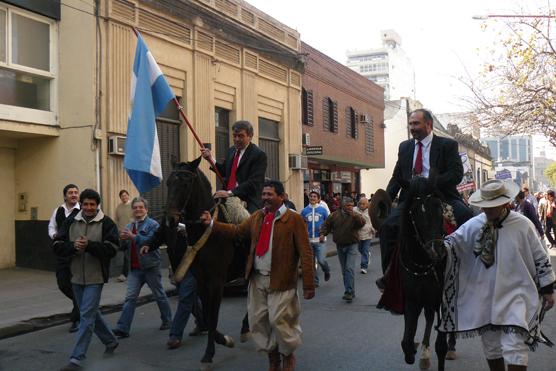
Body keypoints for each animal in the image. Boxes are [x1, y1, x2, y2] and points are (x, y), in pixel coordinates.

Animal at [164, 158, 249, 371]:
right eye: (168, 183)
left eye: (185, 183)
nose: (170, 219)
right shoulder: (201, 280)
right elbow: (210, 317)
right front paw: (224, 340)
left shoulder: (217, 281)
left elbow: (214, 315)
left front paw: (208, 355)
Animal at [398, 175, 450, 371]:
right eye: (414, 212)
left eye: (439, 207)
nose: (436, 250)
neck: (423, 261)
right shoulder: (412, 299)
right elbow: (406, 342)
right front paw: (413, 350)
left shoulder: (441, 299)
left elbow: (441, 346)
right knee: (428, 316)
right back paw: (424, 354)